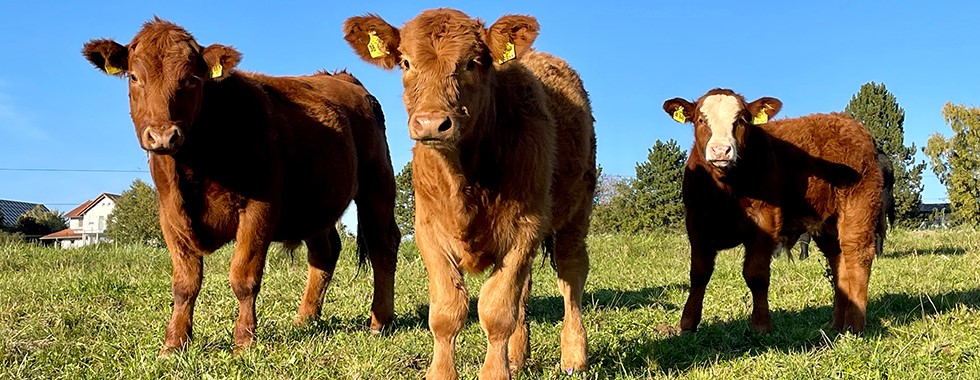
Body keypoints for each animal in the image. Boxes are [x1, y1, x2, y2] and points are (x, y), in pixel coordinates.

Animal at [82, 17, 400, 354]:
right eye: (134, 76)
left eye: (192, 78)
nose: (163, 136)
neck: (197, 161)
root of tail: (343, 78)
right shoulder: (170, 215)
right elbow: (184, 284)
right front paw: (174, 343)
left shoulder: (259, 208)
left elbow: (243, 277)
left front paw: (244, 340)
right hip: (317, 202)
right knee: (324, 253)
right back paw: (305, 319)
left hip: (377, 184)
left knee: (383, 244)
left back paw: (379, 321)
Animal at [340, 8, 592, 380]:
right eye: (405, 62)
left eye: (472, 62)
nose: (431, 123)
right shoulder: (429, 231)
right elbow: (447, 311)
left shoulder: (524, 228)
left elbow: (497, 310)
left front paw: (496, 372)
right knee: (526, 290)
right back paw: (518, 357)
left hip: (576, 212)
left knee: (571, 277)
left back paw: (574, 357)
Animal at [668, 88, 880, 332]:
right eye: (701, 120)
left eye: (740, 121)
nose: (721, 150)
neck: (726, 188)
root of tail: (850, 122)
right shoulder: (697, 222)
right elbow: (699, 273)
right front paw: (687, 323)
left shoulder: (765, 220)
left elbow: (756, 274)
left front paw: (760, 325)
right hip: (827, 224)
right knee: (839, 264)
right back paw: (836, 327)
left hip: (859, 206)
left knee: (858, 256)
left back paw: (855, 325)